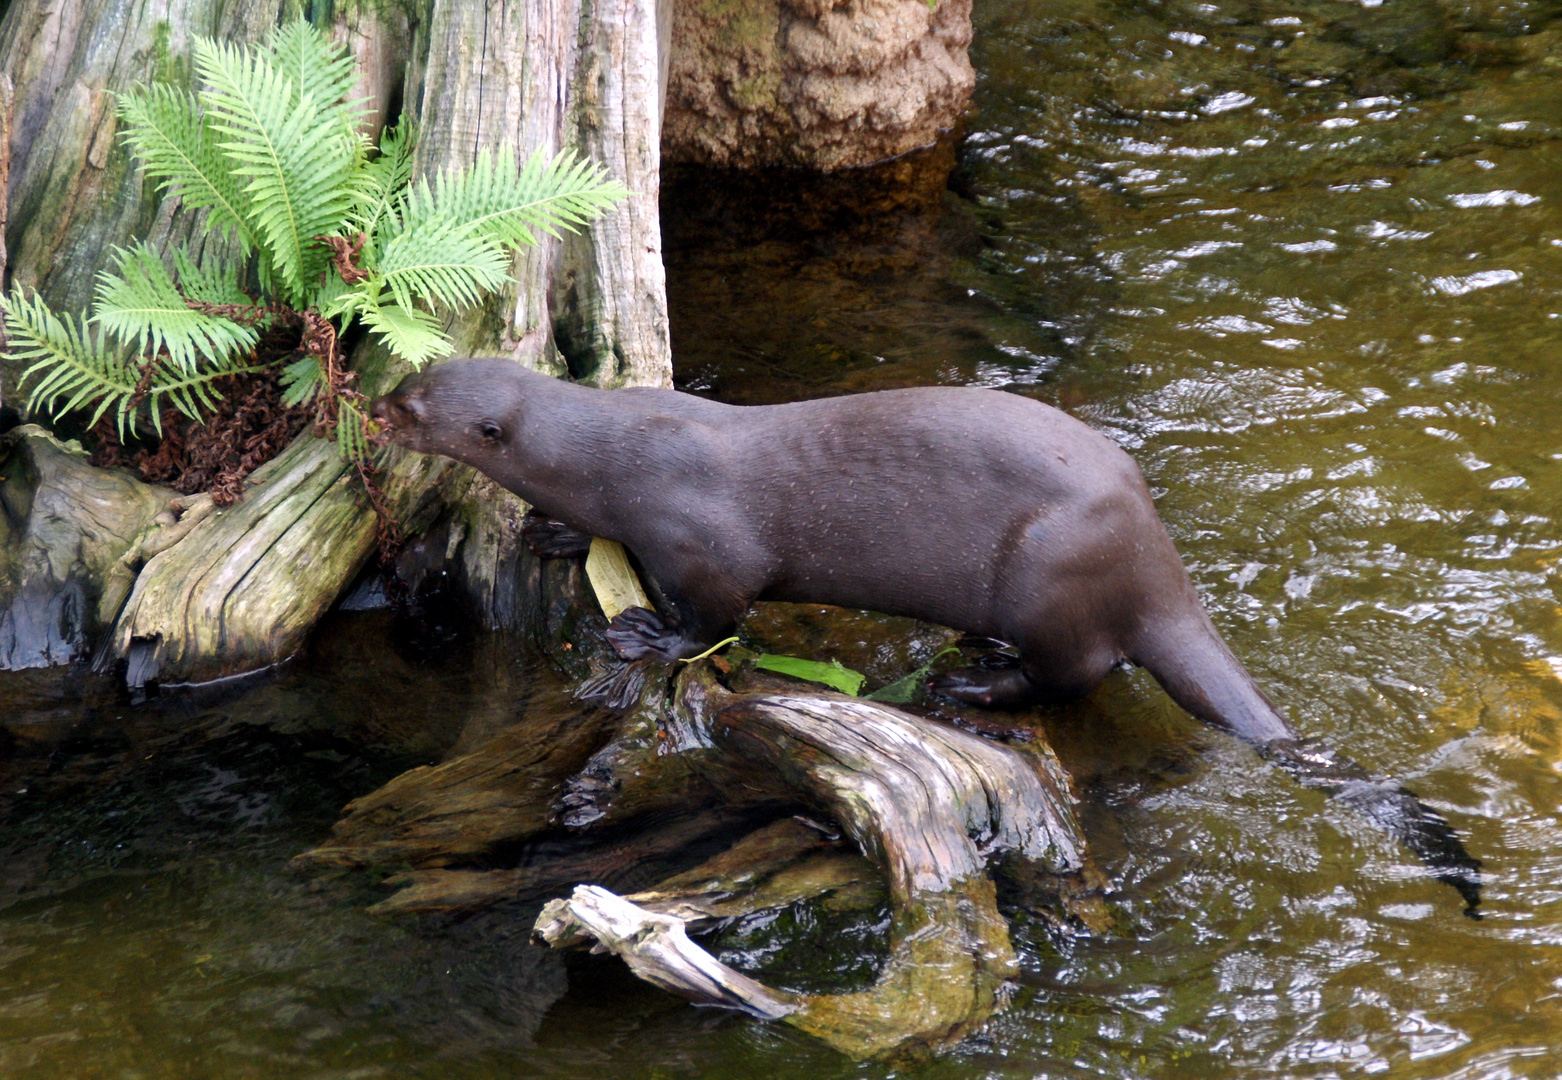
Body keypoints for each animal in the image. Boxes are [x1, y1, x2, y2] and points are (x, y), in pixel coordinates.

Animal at [371, 361, 1480, 912]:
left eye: (410, 405)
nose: (368, 409)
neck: (611, 453)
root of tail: (1151, 554)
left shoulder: (705, 542)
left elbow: (717, 616)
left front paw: (645, 638)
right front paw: (555, 531)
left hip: (1047, 575)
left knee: (1075, 672)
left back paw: (971, 687)